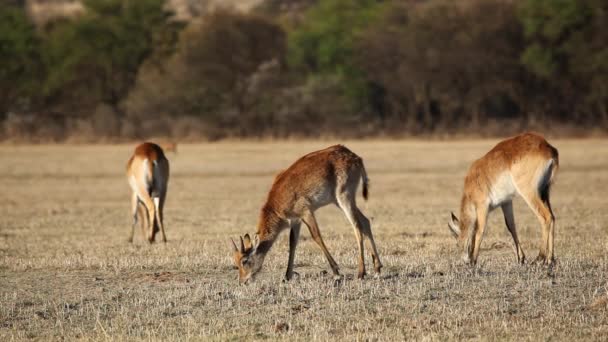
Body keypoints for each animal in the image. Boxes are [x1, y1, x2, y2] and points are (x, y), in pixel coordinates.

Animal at [230, 144, 382, 284]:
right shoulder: (295, 220)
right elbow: (292, 243)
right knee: (366, 222)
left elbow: (316, 236)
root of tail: (355, 157)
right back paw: (377, 270)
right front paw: (287, 276)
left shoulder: (306, 212)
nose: (242, 281)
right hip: (338, 201)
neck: (276, 203)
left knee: (357, 227)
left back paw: (361, 273)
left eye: (244, 260)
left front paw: (336, 272)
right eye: (235, 262)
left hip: (344, 197)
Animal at [446, 132, 560, 266]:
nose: (465, 261)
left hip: (529, 193)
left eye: (457, 243)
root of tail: (547, 148)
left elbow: (480, 230)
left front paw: (474, 260)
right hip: (545, 192)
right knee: (552, 217)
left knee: (545, 217)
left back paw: (539, 257)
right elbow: (511, 226)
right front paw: (521, 258)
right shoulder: (506, 202)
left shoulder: (482, 206)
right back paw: (550, 259)